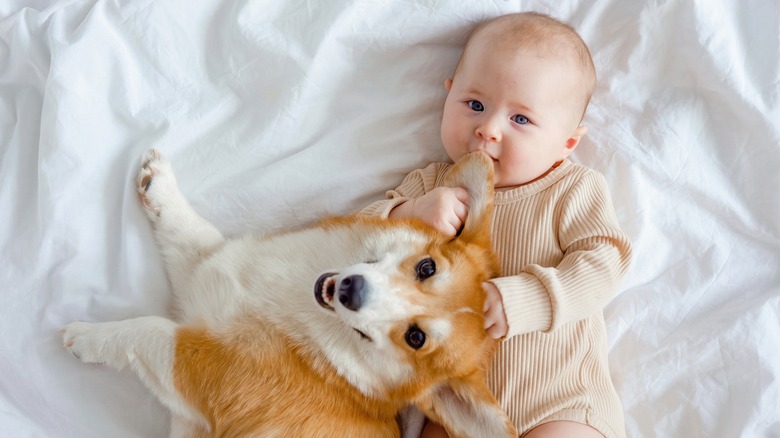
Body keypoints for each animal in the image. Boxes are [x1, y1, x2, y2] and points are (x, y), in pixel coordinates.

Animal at [62, 149, 516, 436]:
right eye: (426, 268)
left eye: (415, 338)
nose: (351, 291)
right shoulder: (207, 268)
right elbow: (188, 231)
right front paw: (159, 184)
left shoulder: (200, 368)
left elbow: (148, 332)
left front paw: (86, 338)